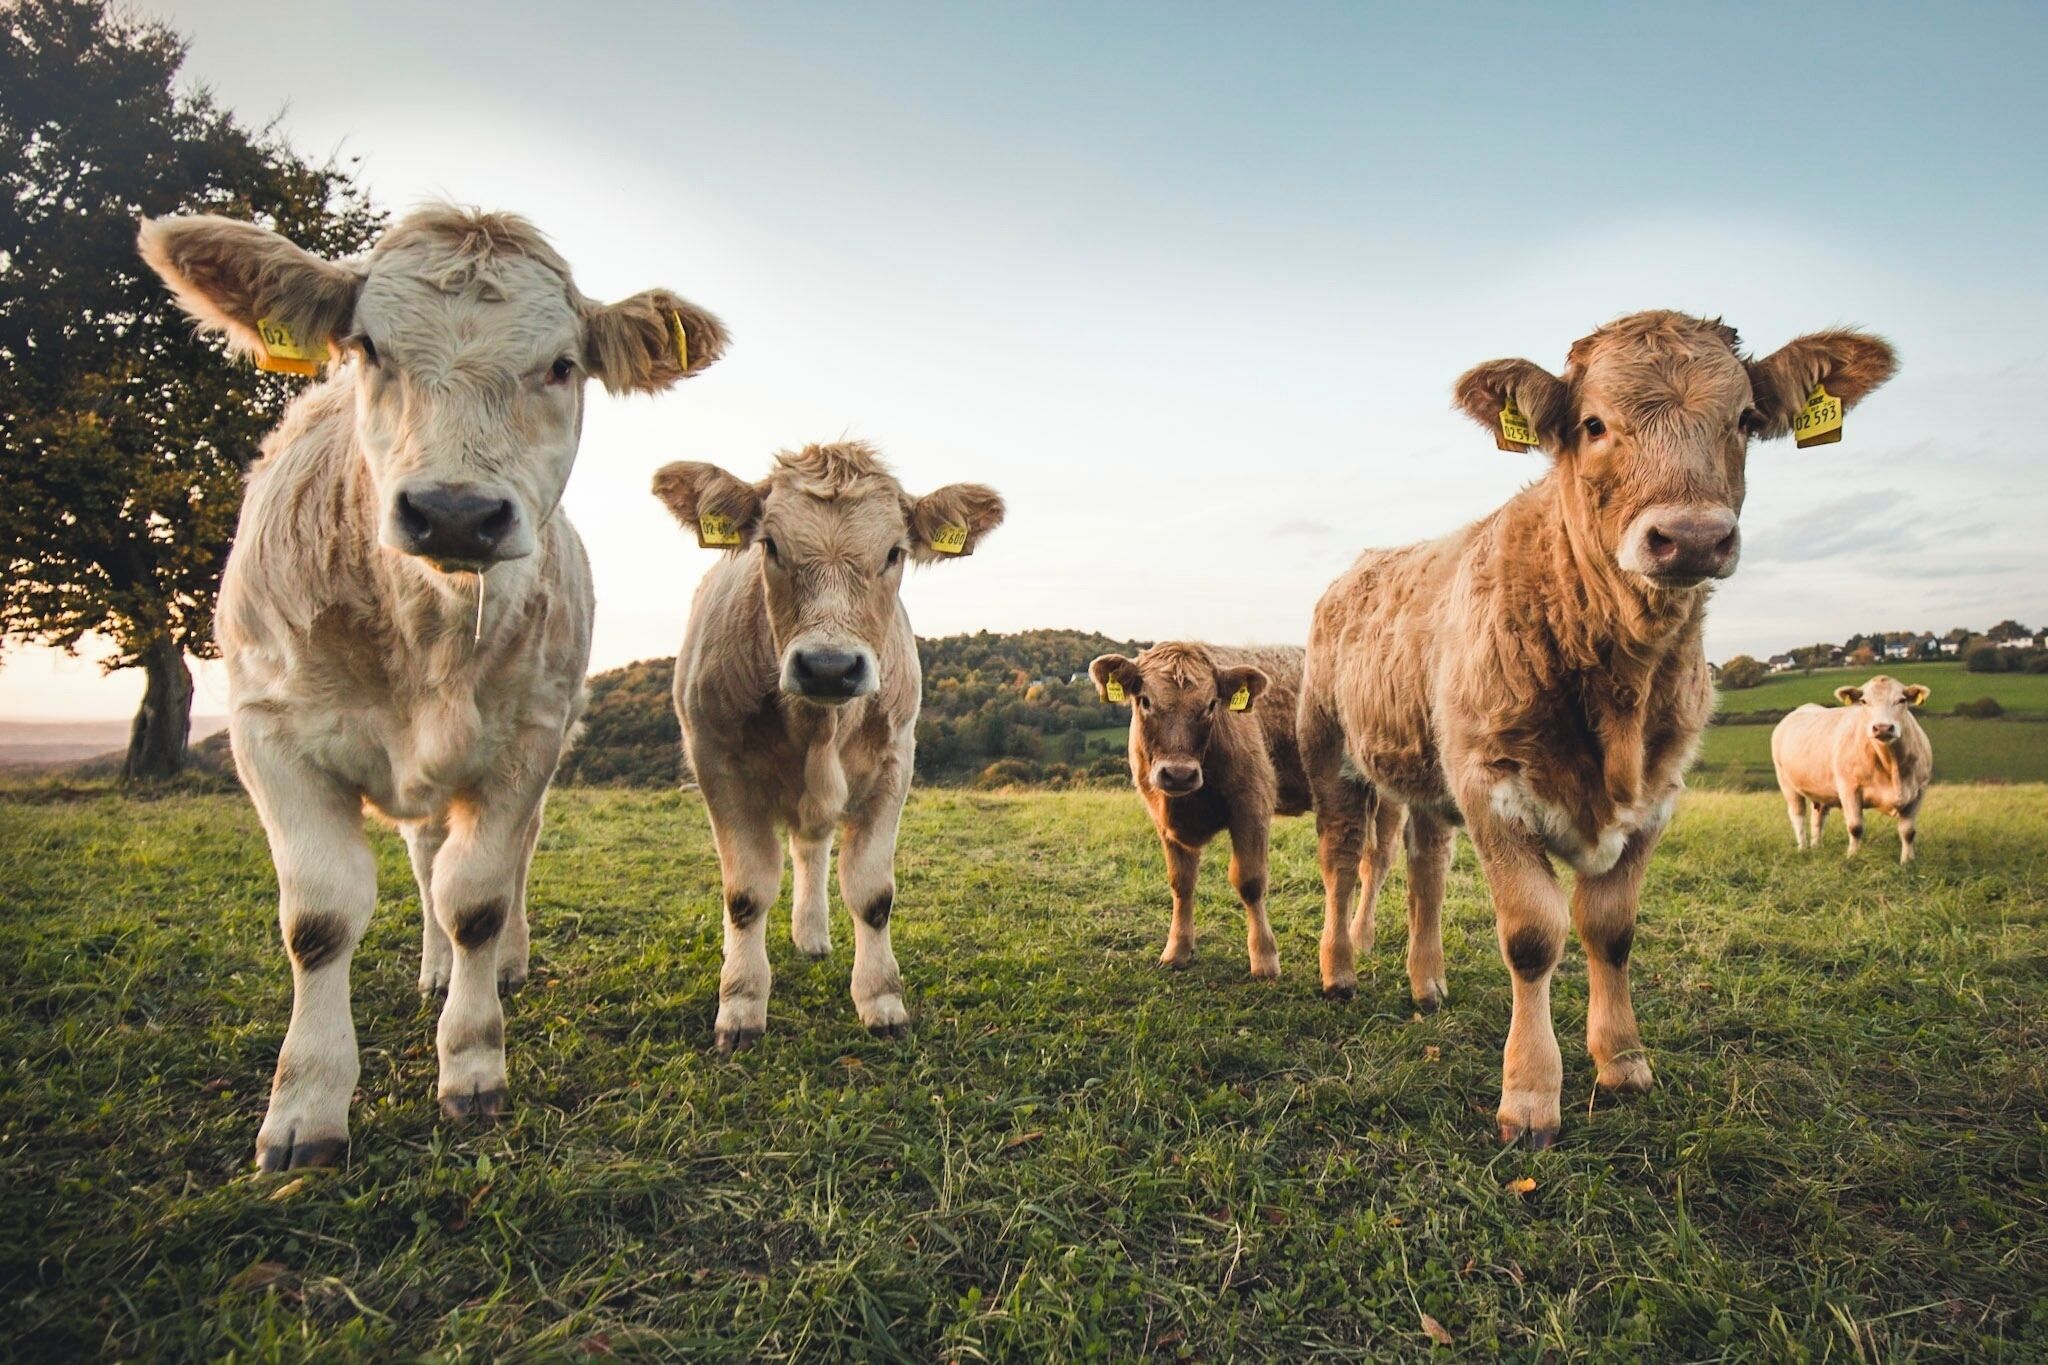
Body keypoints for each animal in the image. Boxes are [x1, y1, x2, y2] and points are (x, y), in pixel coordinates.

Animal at [138, 205, 727, 1169]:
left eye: (561, 364)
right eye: (367, 347)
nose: (455, 512)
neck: (424, 628)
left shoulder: (526, 739)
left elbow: (479, 896)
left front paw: (473, 1066)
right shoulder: (267, 732)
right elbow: (320, 919)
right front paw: (304, 1107)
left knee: (488, 865)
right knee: (421, 862)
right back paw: (435, 968)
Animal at [651, 441, 1003, 1051]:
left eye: (894, 552)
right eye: (769, 544)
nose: (829, 667)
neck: (820, 725)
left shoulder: (895, 763)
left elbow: (872, 894)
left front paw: (882, 1001)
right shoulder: (715, 761)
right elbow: (745, 893)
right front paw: (740, 1005)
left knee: (810, 849)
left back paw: (812, 936)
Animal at [1087, 643, 1373, 980]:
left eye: (1211, 704)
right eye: (1145, 700)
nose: (1179, 774)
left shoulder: (1252, 805)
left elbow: (1249, 881)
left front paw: (1264, 958)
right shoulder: (1162, 819)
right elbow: (1181, 883)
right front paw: (1177, 949)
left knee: (1375, 862)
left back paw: (1360, 938)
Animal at [1298, 310, 1897, 1146]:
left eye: (1745, 420)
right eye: (1592, 424)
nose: (1691, 536)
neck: (1619, 680)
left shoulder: (1656, 793)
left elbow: (1610, 929)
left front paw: (1622, 1061)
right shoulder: (1491, 784)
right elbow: (1532, 936)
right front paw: (1528, 1095)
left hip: (1424, 769)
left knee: (1424, 867)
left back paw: (1426, 981)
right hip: (1330, 750)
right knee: (1341, 858)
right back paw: (1340, 970)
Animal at [1772, 676, 1932, 863]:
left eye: (1902, 700)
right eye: (1863, 701)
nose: (1883, 727)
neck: (1891, 764)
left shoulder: (1919, 791)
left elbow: (1908, 832)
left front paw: (1907, 861)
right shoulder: (1849, 788)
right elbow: (1855, 827)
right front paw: (1853, 856)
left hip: (1822, 790)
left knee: (1818, 817)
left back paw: (1817, 847)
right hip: (1786, 783)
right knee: (1798, 815)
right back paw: (1803, 848)